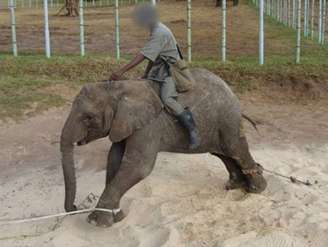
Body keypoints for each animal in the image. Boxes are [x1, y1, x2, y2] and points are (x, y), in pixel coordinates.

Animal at [60, 67, 268, 228]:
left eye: (88, 118)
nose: (75, 208)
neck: (119, 90)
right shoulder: (123, 123)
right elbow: (114, 159)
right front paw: (117, 217)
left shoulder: (149, 125)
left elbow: (139, 166)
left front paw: (96, 222)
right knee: (222, 153)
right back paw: (235, 186)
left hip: (227, 119)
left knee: (235, 148)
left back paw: (256, 189)